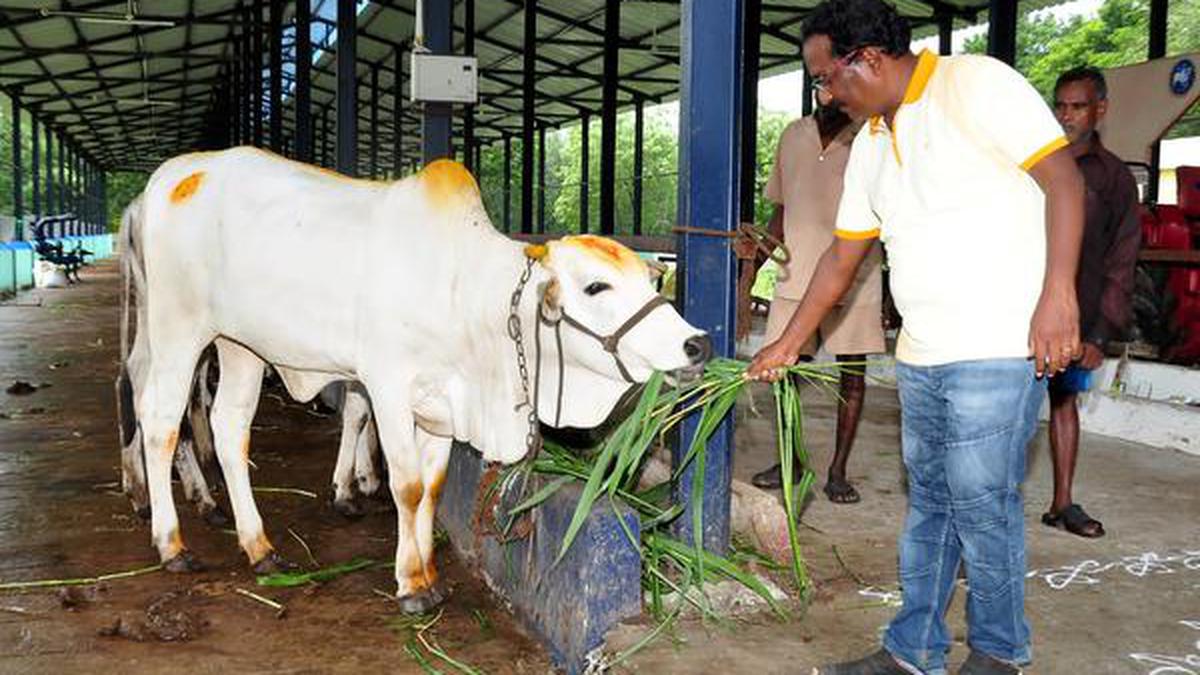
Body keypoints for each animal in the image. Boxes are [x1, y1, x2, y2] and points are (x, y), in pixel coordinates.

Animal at [121, 149, 705, 612]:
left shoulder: (443, 407)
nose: (697, 344)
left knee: (229, 427)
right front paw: (409, 585)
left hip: (240, 345)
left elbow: (433, 487)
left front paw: (428, 573)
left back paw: (259, 547)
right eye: (596, 286)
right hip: (178, 330)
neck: (465, 293)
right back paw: (171, 542)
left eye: (650, 277)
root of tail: (168, 177)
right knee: (161, 422)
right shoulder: (388, 387)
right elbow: (406, 485)